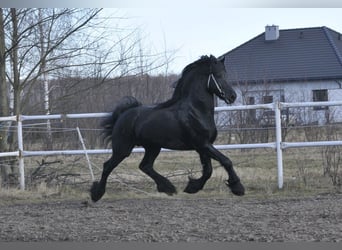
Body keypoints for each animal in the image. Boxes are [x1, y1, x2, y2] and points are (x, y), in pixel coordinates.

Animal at [91, 54, 244, 201]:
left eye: (225, 75)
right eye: (218, 75)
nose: (232, 96)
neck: (196, 111)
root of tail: (123, 114)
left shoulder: (204, 146)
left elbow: (208, 171)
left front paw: (192, 187)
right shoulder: (202, 144)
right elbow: (226, 161)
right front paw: (238, 188)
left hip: (152, 147)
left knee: (145, 166)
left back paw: (167, 187)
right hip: (123, 149)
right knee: (108, 166)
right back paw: (96, 194)